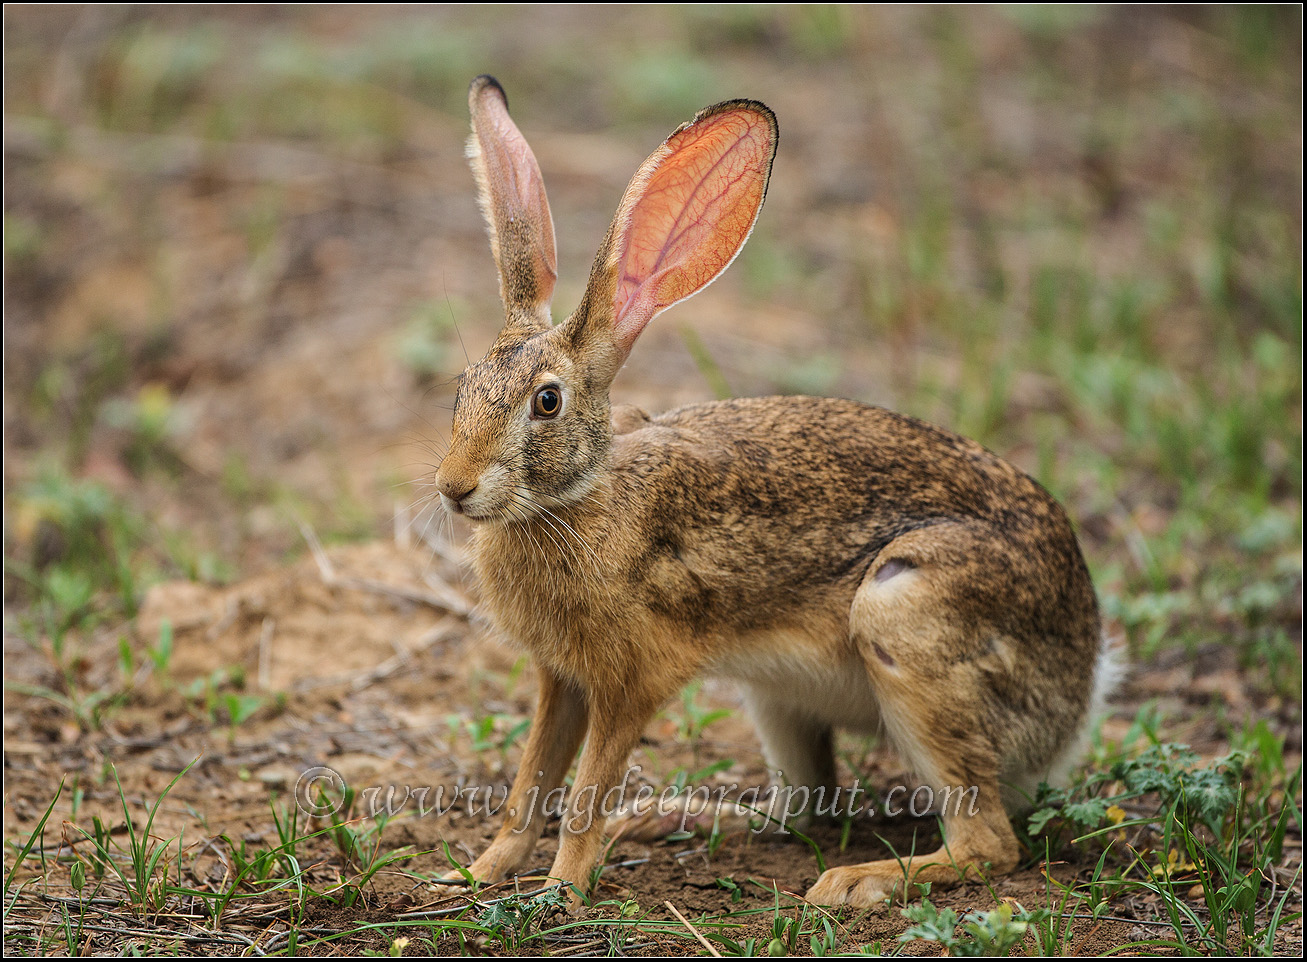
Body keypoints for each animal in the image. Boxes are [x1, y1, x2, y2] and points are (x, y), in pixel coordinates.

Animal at [432, 74, 1116, 909]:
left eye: (547, 402)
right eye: (462, 389)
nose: (453, 489)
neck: (577, 499)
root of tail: (1083, 688)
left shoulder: (629, 680)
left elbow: (584, 791)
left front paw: (559, 892)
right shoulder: (559, 678)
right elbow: (530, 783)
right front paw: (476, 871)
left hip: (906, 613)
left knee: (987, 843)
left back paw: (856, 883)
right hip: (777, 699)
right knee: (800, 808)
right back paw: (668, 819)